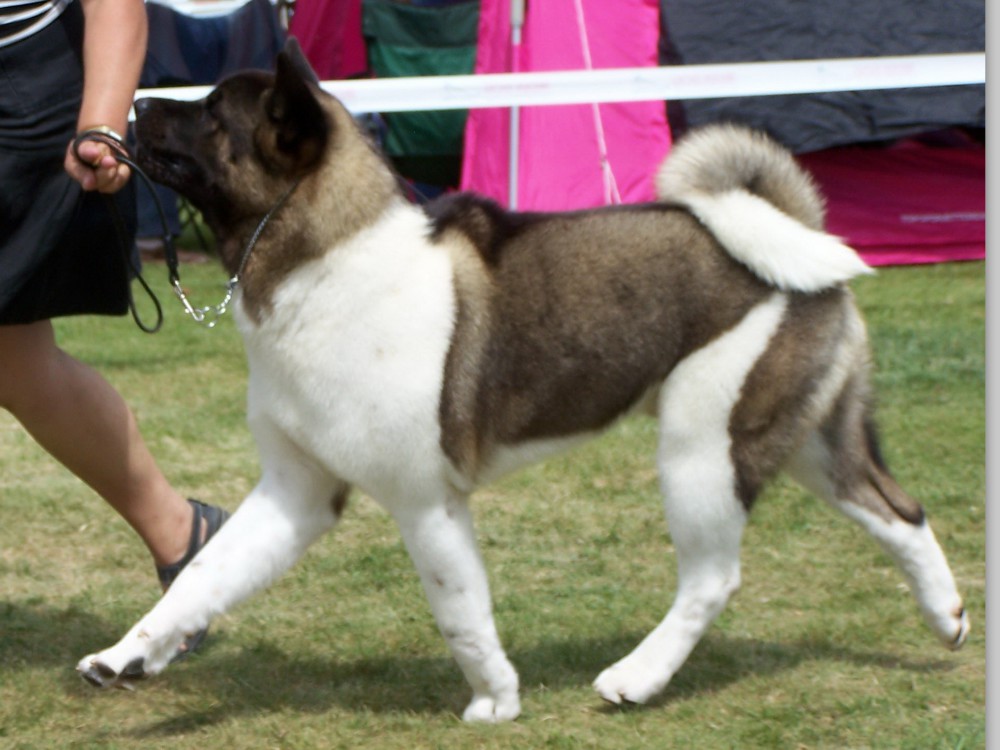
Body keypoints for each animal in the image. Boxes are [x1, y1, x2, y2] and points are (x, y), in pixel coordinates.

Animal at [76, 40, 969, 722]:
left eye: (211, 112)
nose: (139, 100)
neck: (325, 257)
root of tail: (790, 232)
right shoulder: (297, 493)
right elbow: (202, 578)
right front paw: (127, 654)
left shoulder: (425, 504)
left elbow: (459, 611)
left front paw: (495, 702)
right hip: (800, 437)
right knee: (898, 512)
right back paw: (949, 618)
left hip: (704, 448)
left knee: (714, 578)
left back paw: (635, 678)